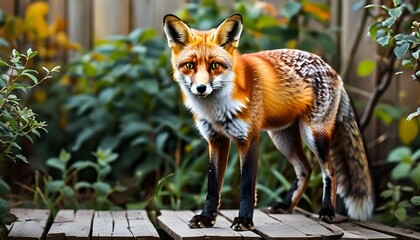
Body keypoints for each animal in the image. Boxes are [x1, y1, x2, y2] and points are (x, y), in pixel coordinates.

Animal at [162, 13, 374, 231]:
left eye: (215, 65)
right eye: (190, 65)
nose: (201, 88)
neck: (216, 109)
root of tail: (333, 70)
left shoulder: (248, 138)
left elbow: (247, 185)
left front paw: (244, 220)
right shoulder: (216, 139)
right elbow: (213, 185)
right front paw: (206, 218)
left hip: (314, 136)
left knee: (330, 172)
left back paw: (327, 211)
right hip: (283, 140)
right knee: (305, 169)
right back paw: (287, 206)